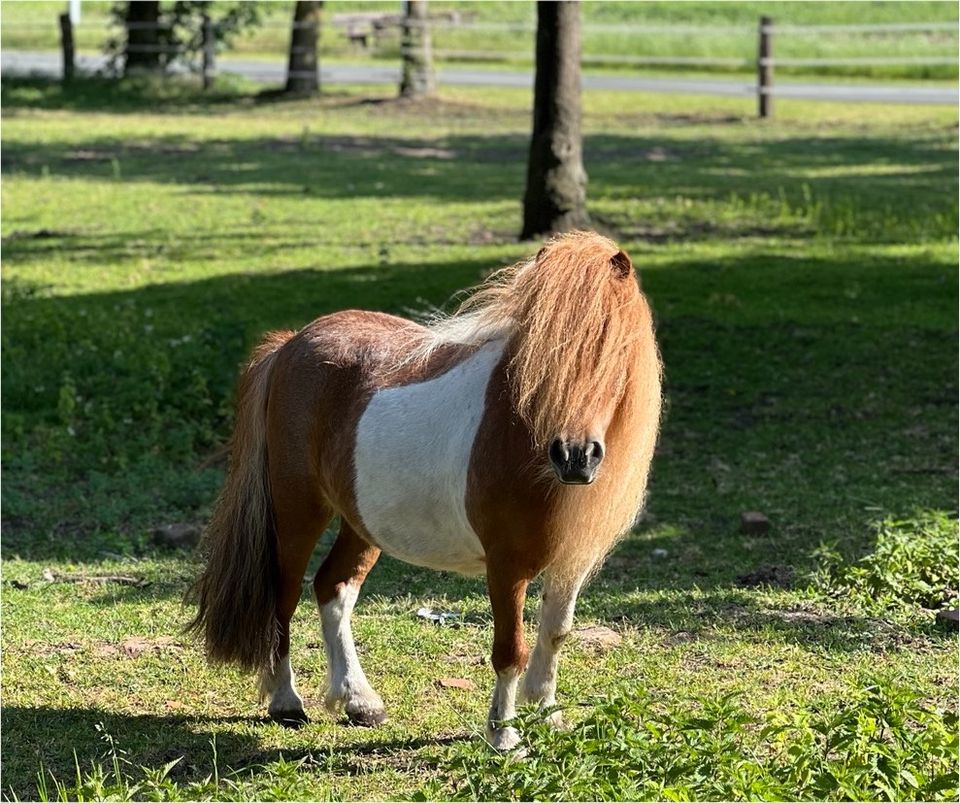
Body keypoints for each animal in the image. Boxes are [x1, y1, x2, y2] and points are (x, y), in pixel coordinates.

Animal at [191, 229, 664, 752]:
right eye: (541, 354)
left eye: (613, 351)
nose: (575, 456)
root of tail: (289, 344)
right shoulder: (506, 566)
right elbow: (510, 650)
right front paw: (504, 737)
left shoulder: (571, 562)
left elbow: (555, 633)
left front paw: (549, 716)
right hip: (298, 511)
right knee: (285, 594)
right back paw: (286, 701)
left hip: (361, 522)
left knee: (333, 588)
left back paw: (359, 701)